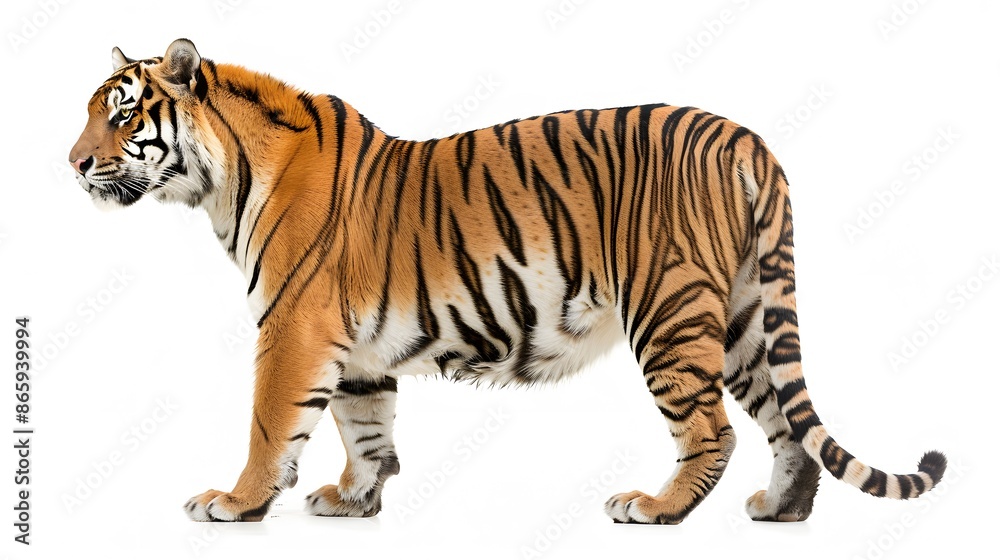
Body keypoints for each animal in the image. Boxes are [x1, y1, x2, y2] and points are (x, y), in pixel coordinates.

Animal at [69, 38, 946, 524]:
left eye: (122, 115)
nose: (72, 164)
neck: (223, 179)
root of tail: (742, 136)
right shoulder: (353, 347)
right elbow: (366, 426)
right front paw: (354, 500)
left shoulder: (293, 328)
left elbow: (268, 426)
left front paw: (235, 502)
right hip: (741, 313)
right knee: (784, 423)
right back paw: (780, 511)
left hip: (670, 310)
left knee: (713, 429)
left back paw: (655, 509)